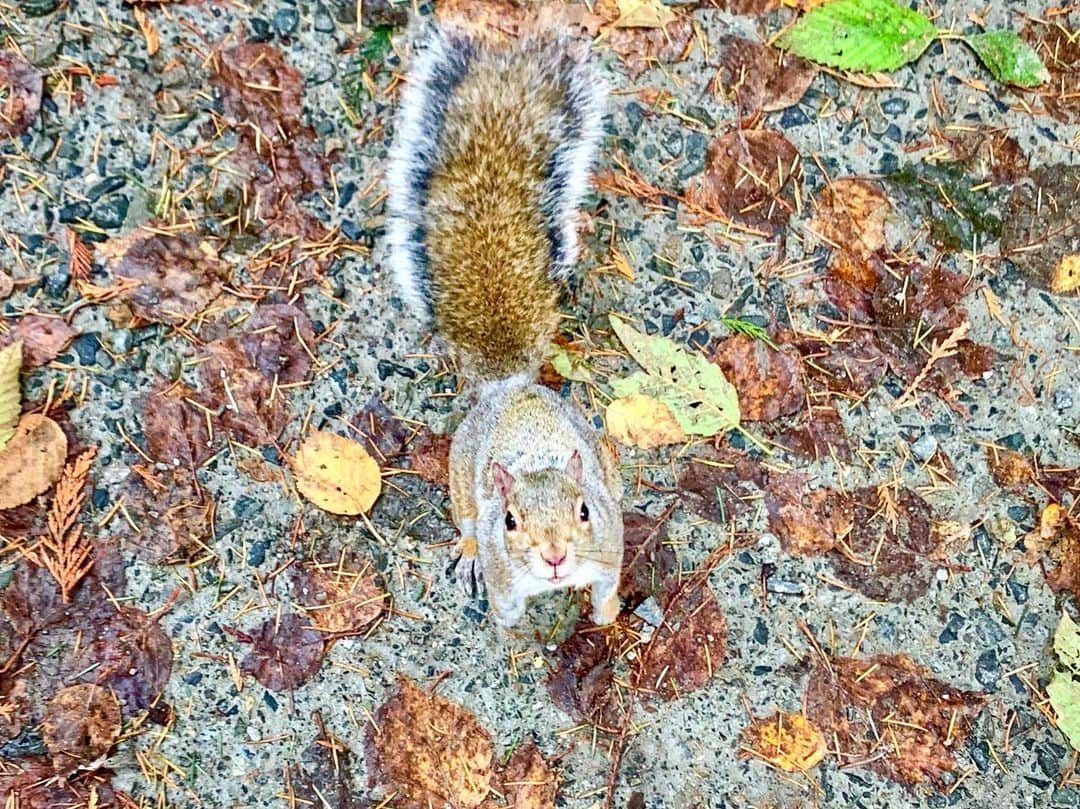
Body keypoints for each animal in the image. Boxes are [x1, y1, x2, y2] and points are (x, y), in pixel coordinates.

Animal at [388, 22, 626, 626]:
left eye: (584, 510)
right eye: (513, 520)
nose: (555, 557)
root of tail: (510, 387)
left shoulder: (609, 548)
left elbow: (608, 587)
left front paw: (605, 618)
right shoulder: (505, 573)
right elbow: (506, 611)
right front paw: (516, 629)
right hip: (461, 480)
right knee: (469, 523)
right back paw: (470, 552)